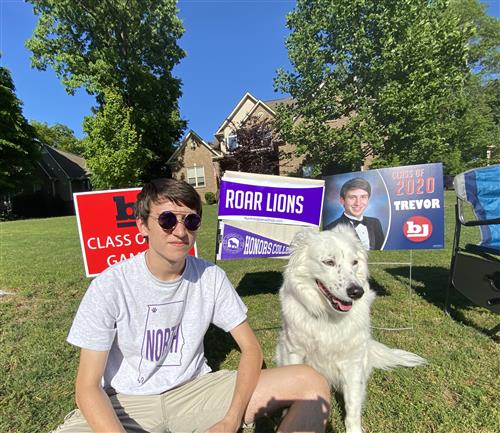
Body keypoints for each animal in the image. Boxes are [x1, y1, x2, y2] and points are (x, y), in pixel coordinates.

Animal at [278, 226, 426, 432]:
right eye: (329, 262)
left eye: (354, 262)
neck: (329, 317)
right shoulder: (294, 352)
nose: (357, 292)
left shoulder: (352, 363)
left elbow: (353, 406)